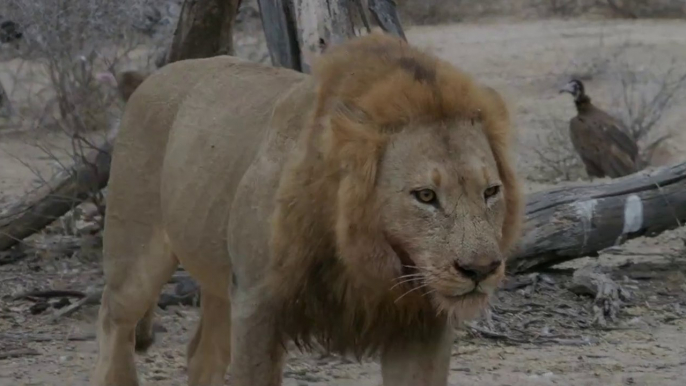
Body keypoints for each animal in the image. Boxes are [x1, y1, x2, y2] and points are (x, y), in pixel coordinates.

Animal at [91, 32, 520, 386]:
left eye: (490, 191)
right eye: (426, 196)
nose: (480, 270)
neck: (368, 257)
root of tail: (151, 77)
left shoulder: (422, 324)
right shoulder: (256, 304)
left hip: (220, 280)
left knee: (200, 356)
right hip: (137, 255)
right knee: (114, 317)